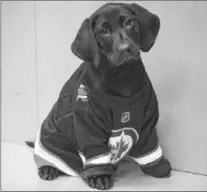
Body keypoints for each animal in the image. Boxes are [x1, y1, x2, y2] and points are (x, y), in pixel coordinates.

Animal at [25, 2, 171, 190]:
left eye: (129, 22)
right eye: (103, 31)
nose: (125, 49)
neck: (123, 77)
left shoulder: (147, 121)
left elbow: (149, 145)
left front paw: (158, 167)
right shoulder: (89, 123)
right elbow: (96, 152)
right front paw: (99, 177)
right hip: (52, 140)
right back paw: (48, 169)